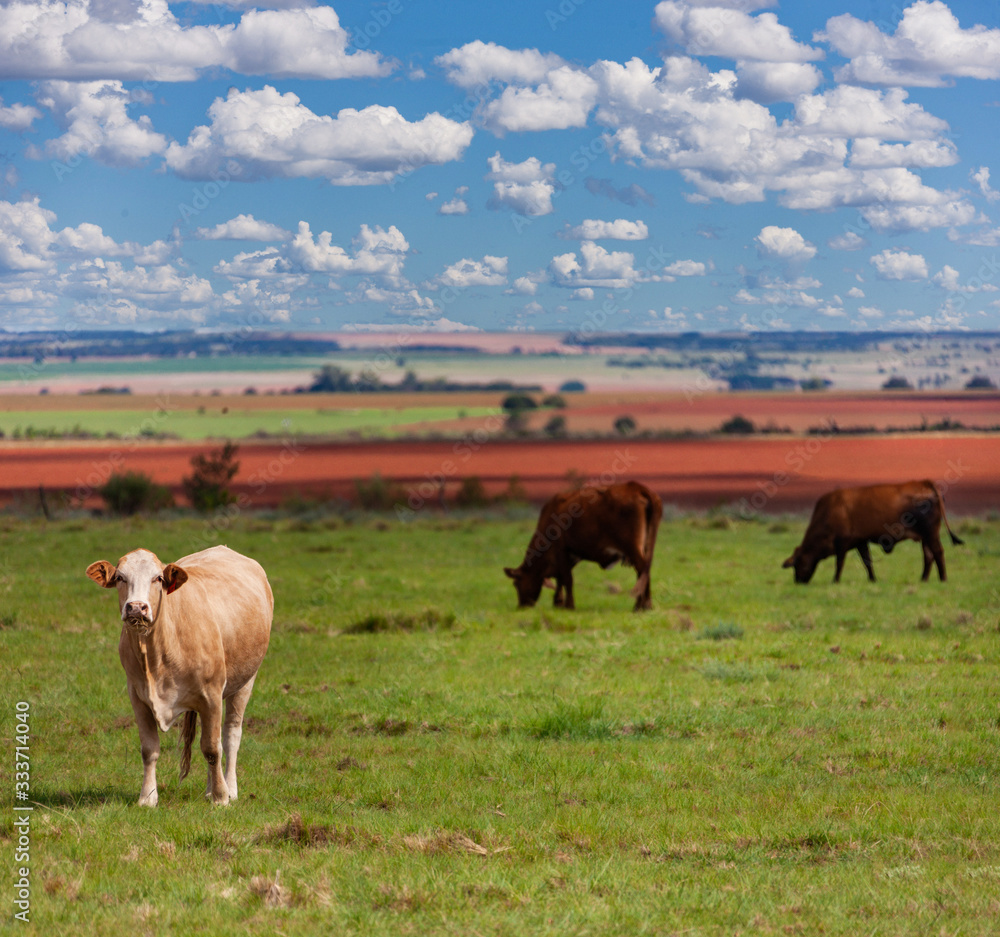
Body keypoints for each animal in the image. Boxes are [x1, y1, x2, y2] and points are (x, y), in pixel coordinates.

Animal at [86, 544, 272, 808]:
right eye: (120, 577)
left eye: (158, 578)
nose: (136, 607)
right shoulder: (137, 696)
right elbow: (149, 749)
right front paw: (148, 797)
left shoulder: (212, 694)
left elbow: (212, 748)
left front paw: (221, 797)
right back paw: (210, 789)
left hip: (245, 681)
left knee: (230, 736)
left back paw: (230, 788)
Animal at [504, 478, 660, 612]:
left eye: (516, 584)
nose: (521, 607)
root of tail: (635, 487)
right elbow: (561, 579)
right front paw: (558, 603)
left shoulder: (561, 549)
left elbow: (567, 578)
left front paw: (568, 605)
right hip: (644, 546)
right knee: (643, 571)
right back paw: (643, 605)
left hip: (632, 547)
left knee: (642, 569)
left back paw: (642, 606)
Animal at [780, 478, 960, 580]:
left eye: (797, 563)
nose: (798, 581)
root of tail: (924, 482)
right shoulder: (860, 542)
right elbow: (867, 562)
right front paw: (872, 579)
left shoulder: (842, 543)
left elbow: (839, 563)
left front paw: (835, 580)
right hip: (925, 536)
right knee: (928, 555)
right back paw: (923, 579)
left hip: (931, 533)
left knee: (937, 552)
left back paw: (943, 579)